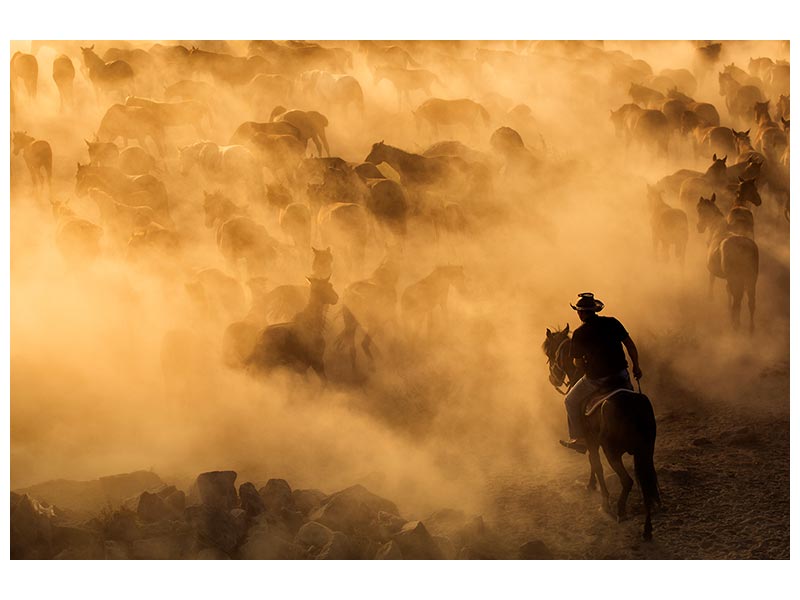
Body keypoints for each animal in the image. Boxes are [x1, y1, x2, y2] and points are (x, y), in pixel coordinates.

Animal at [544, 326, 664, 540]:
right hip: (645, 452)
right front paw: (592, 485)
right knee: (646, 483)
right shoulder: (593, 442)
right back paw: (647, 529)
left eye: (551, 353)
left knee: (628, 481)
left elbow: (596, 465)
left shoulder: (592, 441)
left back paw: (620, 511)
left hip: (613, 452)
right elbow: (593, 462)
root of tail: (633, 407)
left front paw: (603, 500)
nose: (552, 379)